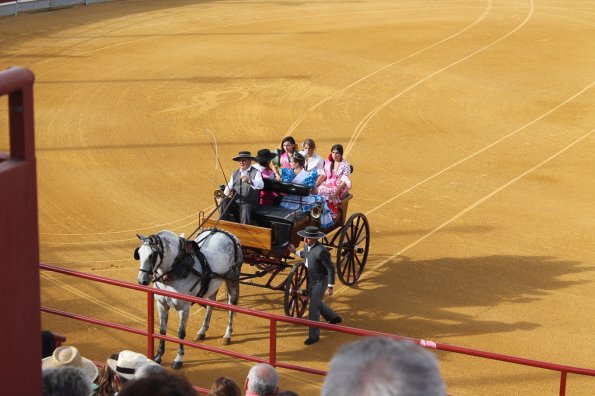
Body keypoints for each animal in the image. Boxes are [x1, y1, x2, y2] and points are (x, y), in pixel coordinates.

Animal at [135, 227, 242, 370]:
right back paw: (202, 331)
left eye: (152, 255)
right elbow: (162, 330)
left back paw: (227, 335)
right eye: (139, 253)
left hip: (232, 281)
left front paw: (178, 359)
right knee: (211, 304)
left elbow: (181, 333)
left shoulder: (183, 308)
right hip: (212, 283)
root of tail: (226, 233)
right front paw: (158, 356)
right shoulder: (162, 304)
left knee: (231, 306)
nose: (142, 280)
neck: (175, 270)